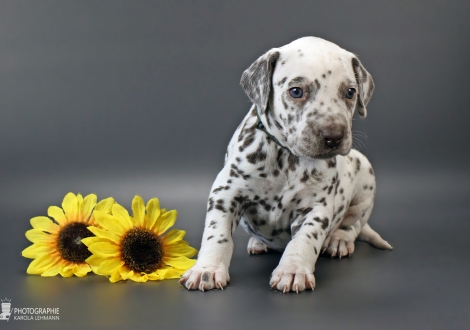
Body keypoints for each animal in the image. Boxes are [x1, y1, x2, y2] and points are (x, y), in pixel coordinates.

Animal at [180, 36, 392, 292]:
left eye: (350, 92)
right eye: (296, 91)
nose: (334, 136)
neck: (286, 158)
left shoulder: (316, 209)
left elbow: (304, 240)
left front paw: (293, 270)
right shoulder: (225, 194)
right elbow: (217, 235)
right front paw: (207, 269)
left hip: (364, 179)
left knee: (353, 224)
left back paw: (339, 241)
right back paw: (258, 243)